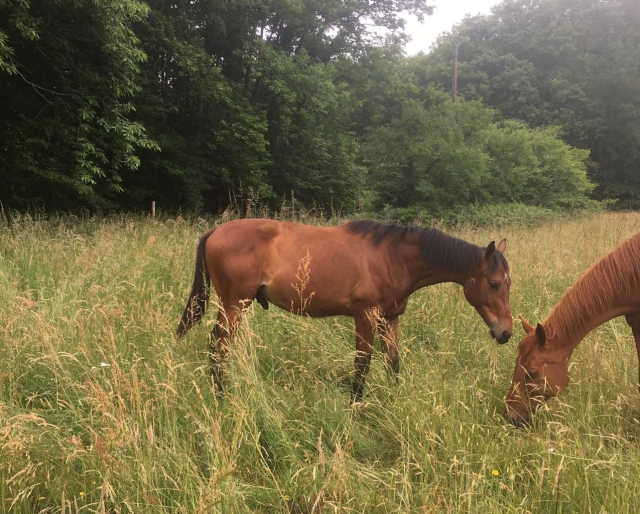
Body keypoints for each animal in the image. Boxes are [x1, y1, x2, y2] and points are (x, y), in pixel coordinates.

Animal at [177, 218, 513, 403]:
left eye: (509, 283)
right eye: (494, 283)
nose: (506, 332)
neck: (393, 257)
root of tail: (216, 231)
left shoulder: (390, 319)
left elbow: (393, 362)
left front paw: (395, 400)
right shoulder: (365, 316)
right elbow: (362, 365)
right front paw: (356, 408)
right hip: (234, 305)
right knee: (218, 346)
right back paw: (221, 395)